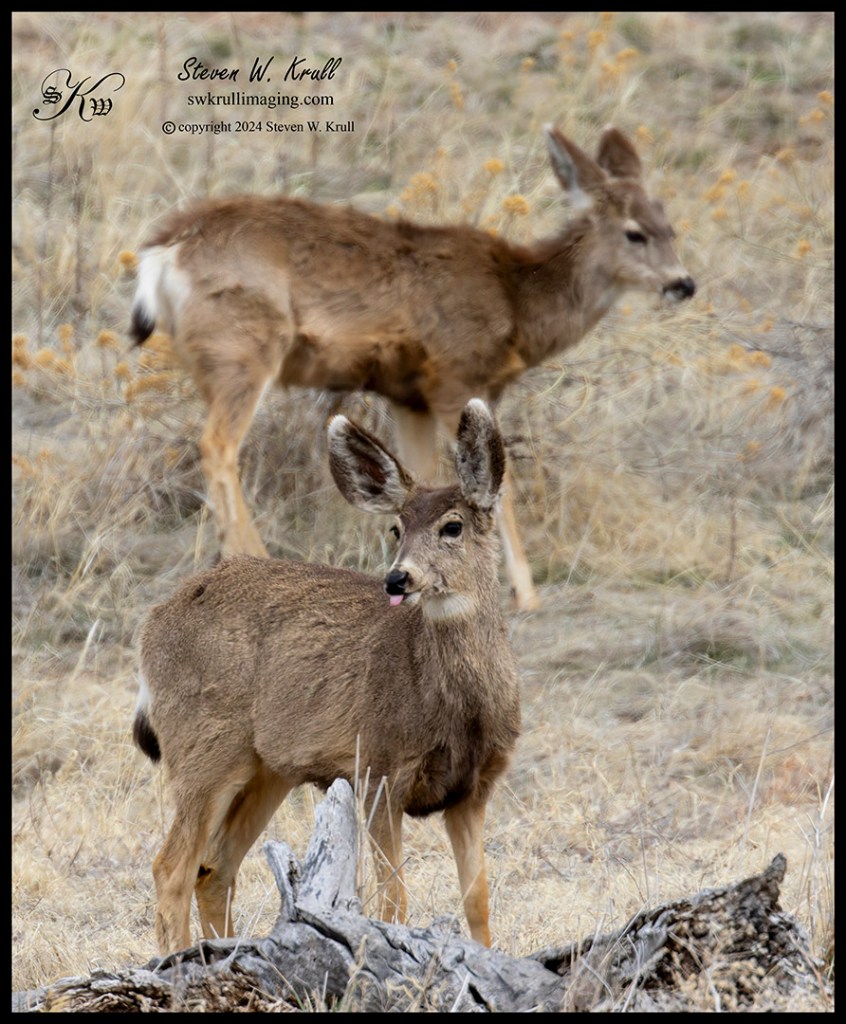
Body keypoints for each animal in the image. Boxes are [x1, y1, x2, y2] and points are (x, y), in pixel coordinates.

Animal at [130, 125, 695, 612]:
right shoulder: (453, 376)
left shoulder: (408, 396)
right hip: (243, 347)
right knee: (217, 444)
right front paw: (526, 593)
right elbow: (498, 486)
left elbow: (422, 480)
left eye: (670, 226)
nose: (684, 283)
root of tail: (161, 253)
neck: (515, 300)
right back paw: (255, 558)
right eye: (635, 233)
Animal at [133, 398, 521, 955]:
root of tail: (152, 623)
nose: (397, 578)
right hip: (202, 747)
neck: (457, 711)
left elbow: (478, 901)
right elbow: (392, 900)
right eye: (396, 528)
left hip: (268, 770)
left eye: (453, 526)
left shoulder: (474, 787)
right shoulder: (379, 769)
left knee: (214, 868)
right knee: (172, 867)